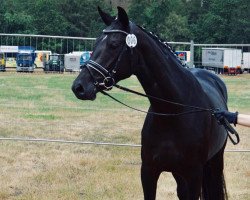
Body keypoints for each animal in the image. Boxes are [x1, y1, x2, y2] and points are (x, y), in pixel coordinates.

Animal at [71, 7, 229, 199]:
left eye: (114, 44)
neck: (173, 111)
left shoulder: (194, 175)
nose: (79, 87)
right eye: (95, 44)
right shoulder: (148, 172)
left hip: (215, 162)